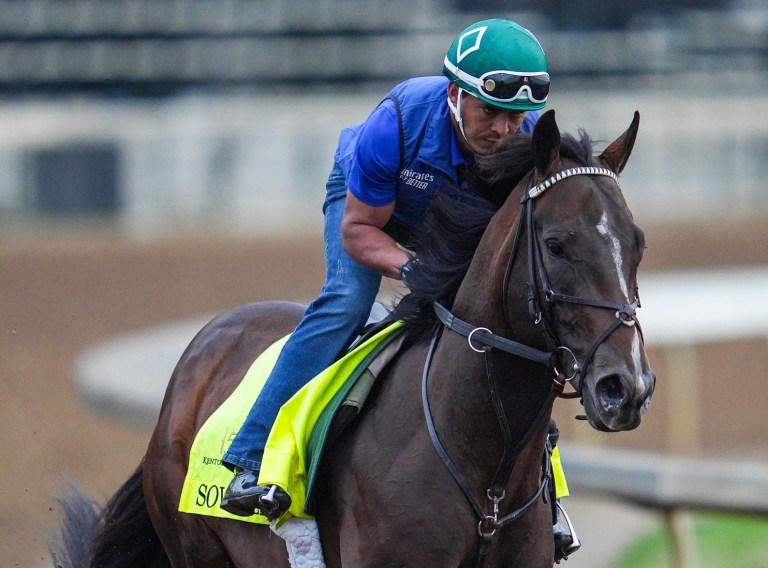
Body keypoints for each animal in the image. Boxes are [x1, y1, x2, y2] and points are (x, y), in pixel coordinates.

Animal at [49, 110, 655, 568]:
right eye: (555, 244)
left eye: (637, 242)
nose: (626, 387)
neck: (488, 465)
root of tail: (199, 350)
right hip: (195, 550)